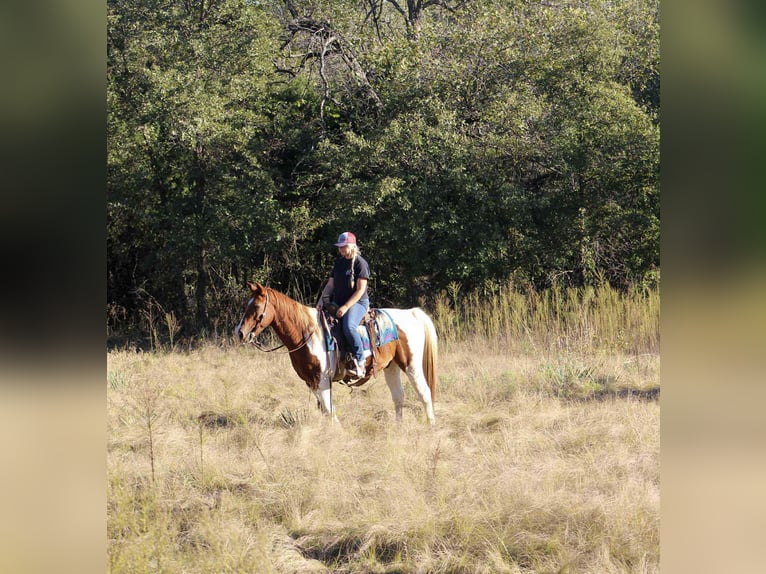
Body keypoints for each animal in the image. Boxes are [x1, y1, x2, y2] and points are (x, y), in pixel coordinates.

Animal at [235, 282, 437, 425]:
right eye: (246, 306)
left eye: (256, 307)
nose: (240, 333)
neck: (307, 332)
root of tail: (411, 313)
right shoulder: (311, 381)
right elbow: (325, 409)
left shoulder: (322, 379)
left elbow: (328, 409)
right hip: (391, 366)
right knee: (398, 396)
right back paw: (399, 426)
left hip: (411, 365)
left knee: (424, 392)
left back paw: (431, 425)